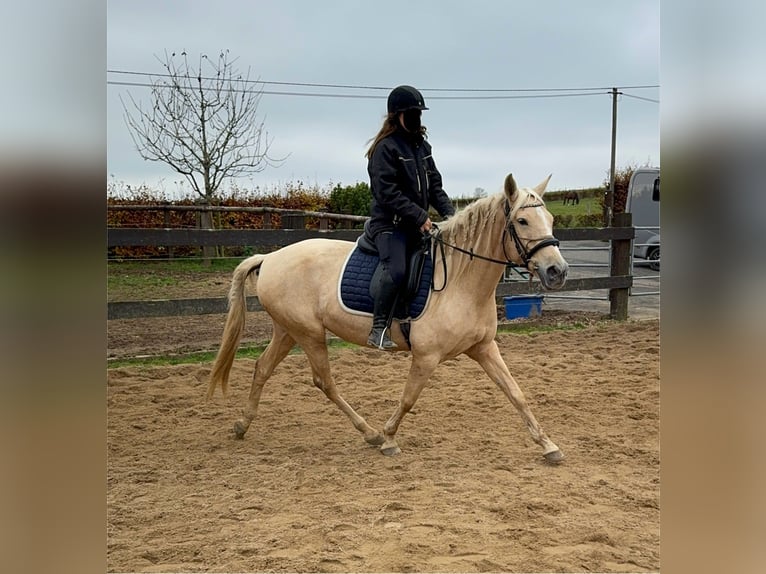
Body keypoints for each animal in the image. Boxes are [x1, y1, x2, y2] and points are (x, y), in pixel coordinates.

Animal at [208, 173, 568, 466]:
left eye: (549, 218)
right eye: (522, 221)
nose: (558, 271)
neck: (460, 279)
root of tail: (270, 257)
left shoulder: (484, 348)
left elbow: (516, 394)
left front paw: (549, 445)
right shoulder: (426, 357)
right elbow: (408, 398)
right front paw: (390, 439)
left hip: (288, 331)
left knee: (262, 368)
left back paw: (242, 425)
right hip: (308, 333)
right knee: (324, 381)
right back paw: (370, 433)